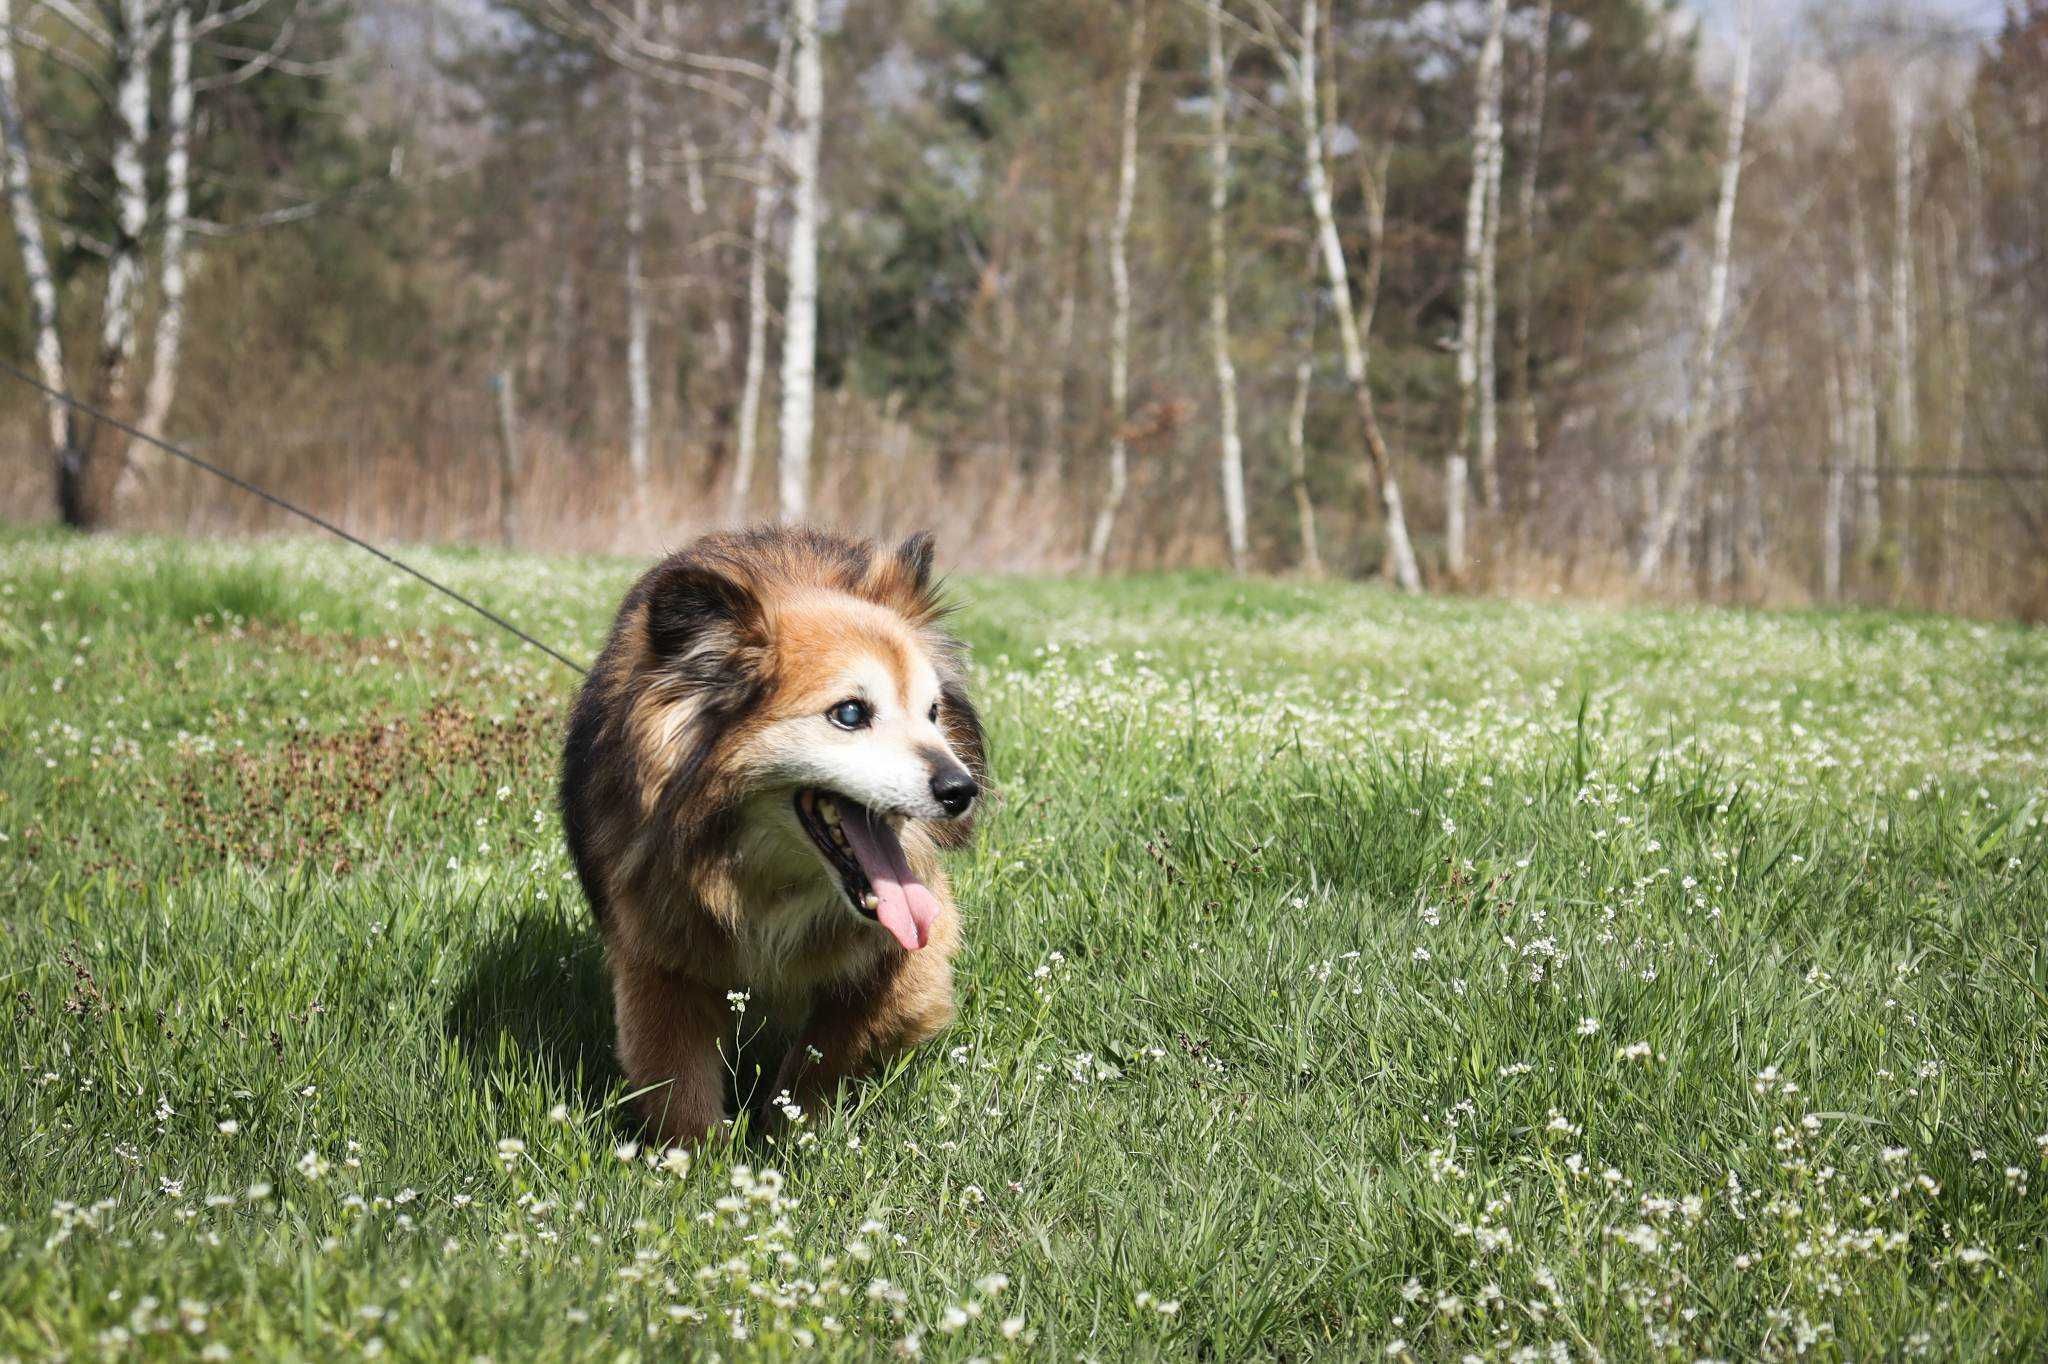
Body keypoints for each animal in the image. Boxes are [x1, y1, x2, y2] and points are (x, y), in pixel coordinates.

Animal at [557, 524, 978, 1138]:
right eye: (850, 714)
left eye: (933, 712)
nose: (961, 789)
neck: (762, 877)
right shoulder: (654, 948)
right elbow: (679, 1082)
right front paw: (701, 1156)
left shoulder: (913, 951)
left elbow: (831, 1046)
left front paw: (786, 1127)